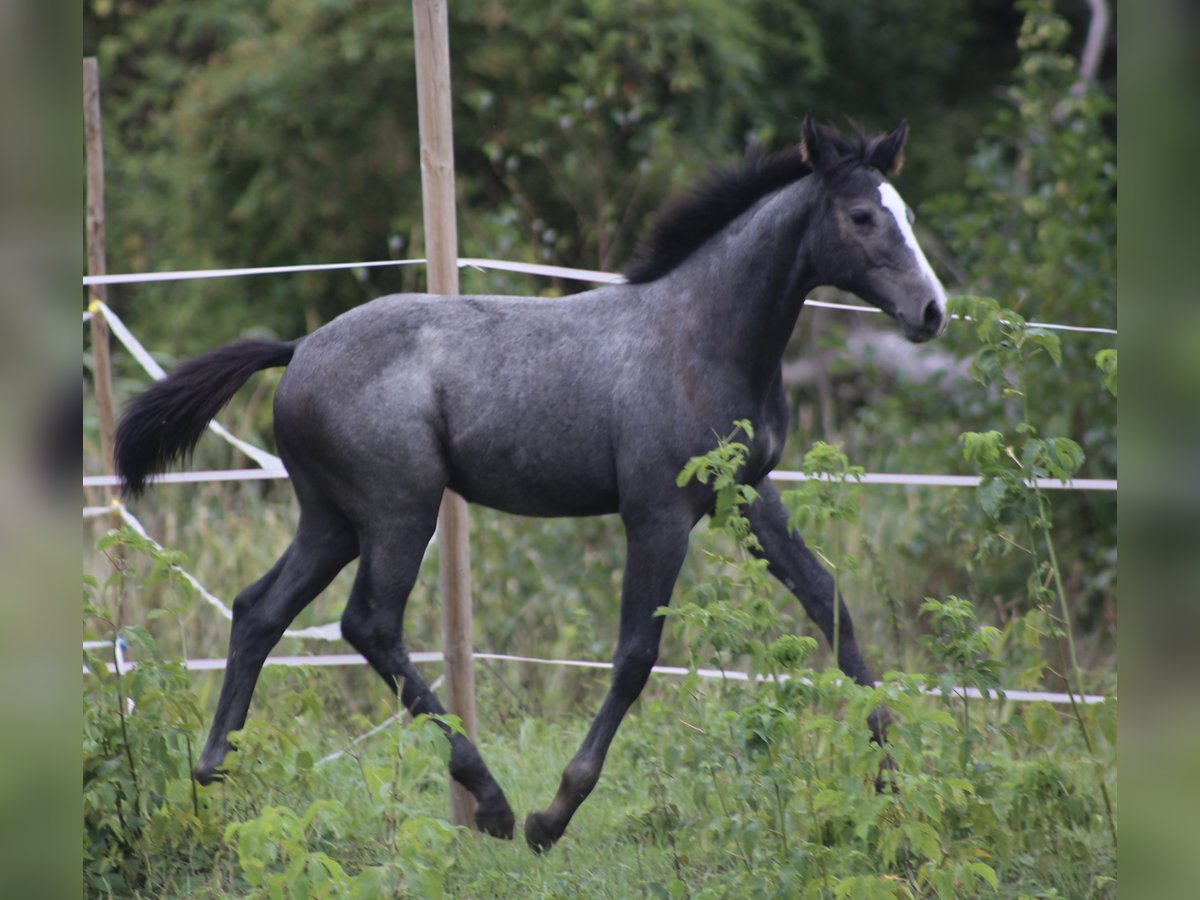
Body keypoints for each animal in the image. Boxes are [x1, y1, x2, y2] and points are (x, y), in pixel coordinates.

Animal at [117, 116, 950, 854]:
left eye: (908, 212)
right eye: (862, 215)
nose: (932, 311)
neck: (702, 337)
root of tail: (298, 349)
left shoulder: (748, 496)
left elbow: (831, 605)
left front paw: (895, 781)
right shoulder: (657, 512)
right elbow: (635, 655)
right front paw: (555, 815)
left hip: (331, 519)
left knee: (259, 609)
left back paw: (215, 771)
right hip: (399, 509)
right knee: (369, 624)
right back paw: (491, 804)